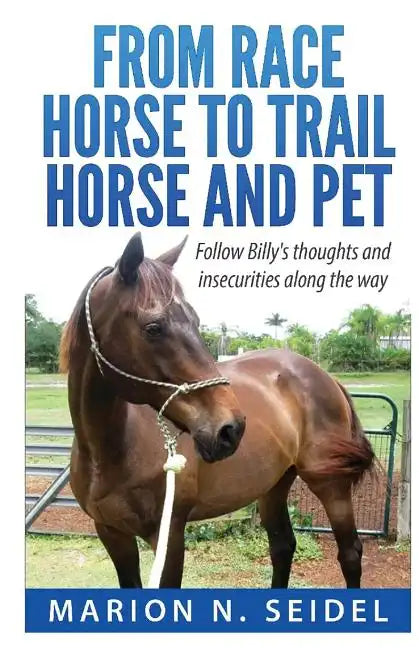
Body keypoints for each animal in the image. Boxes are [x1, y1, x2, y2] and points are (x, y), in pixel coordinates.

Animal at [60, 233, 375, 589]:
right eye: (153, 328)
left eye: (196, 322)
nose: (231, 428)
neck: (109, 452)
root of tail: (326, 377)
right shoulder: (112, 534)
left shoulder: (169, 537)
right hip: (274, 484)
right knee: (282, 546)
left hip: (330, 484)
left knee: (349, 553)